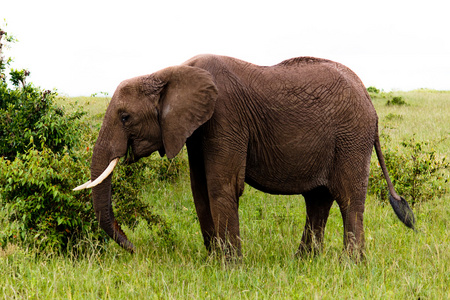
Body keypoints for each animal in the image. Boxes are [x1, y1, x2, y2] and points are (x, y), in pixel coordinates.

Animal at [74, 54, 414, 258]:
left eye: (125, 117)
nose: (136, 248)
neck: (170, 71)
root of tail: (370, 101)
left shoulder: (226, 118)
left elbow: (222, 186)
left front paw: (230, 267)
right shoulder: (196, 129)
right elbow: (200, 190)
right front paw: (213, 262)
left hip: (351, 137)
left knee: (348, 198)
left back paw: (350, 265)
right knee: (317, 200)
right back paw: (304, 262)